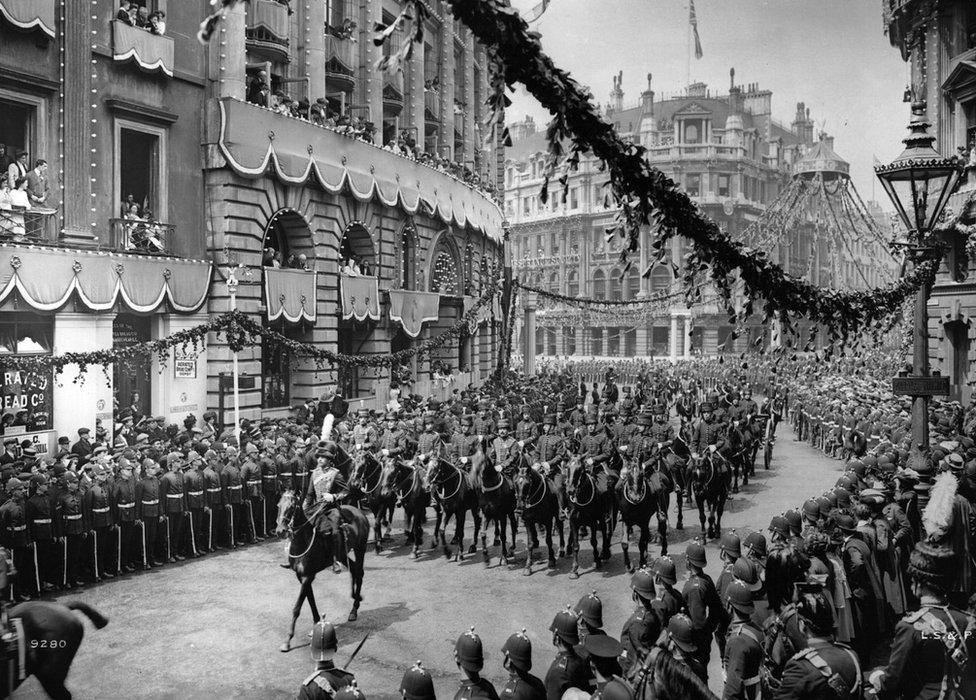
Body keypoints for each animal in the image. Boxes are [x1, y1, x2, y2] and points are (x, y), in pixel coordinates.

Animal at [274, 492, 370, 652]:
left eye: (292, 507)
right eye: (278, 506)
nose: (280, 530)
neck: (303, 541)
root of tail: (359, 511)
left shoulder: (307, 577)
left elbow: (297, 607)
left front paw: (287, 640)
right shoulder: (302, 577)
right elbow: (311, 601)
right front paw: (315, 626)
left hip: (360, 548)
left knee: (360, 572)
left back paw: (354, 609)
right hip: (343, 555)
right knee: (354, 570)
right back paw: (354, 599)